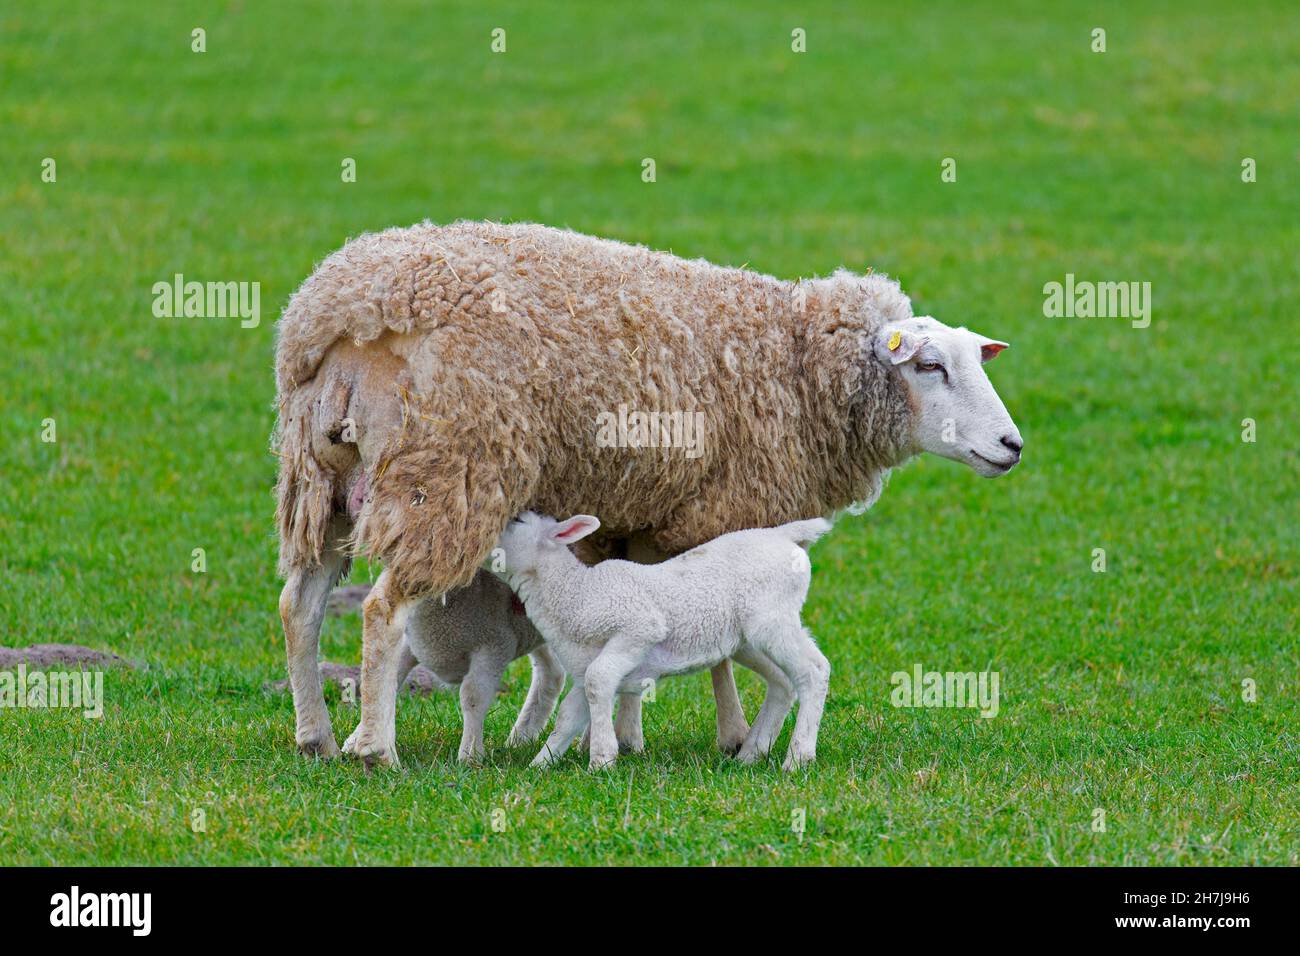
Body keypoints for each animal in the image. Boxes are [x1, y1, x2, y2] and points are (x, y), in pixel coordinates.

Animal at [496, 515, 832, 770]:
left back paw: (798, 758)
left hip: (772, 619)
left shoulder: (639, 627)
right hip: (747, 639)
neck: (574, 591)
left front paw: (601, 760)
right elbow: (571, 712)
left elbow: (598, 680)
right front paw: (540, 765)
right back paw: (750, 754)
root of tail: (783, 535)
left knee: (814, 670)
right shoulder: (584, 665)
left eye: (518, 521)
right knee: (783, 682)